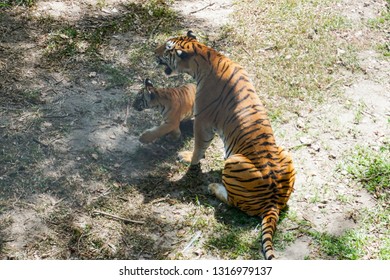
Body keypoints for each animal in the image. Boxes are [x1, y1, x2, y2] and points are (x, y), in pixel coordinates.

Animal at [155, 31, 296, 260]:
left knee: (234, 202)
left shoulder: (202, 121)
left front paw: (188, 159)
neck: (206, 54)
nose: (153, 51)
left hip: (233, 161)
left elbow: (198, 148)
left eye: (167, 49)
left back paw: (213, 187)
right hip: (285, 151)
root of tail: (273, 202)